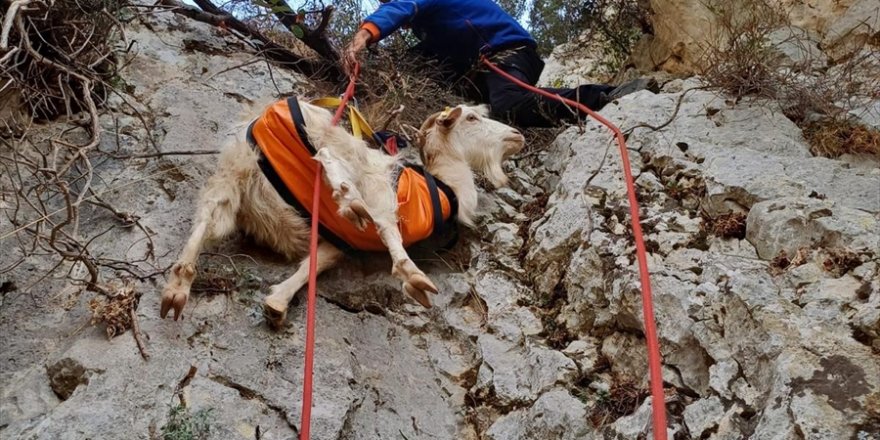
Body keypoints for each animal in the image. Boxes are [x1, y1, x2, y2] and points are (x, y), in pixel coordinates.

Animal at [160, 97, 524, 330]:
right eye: (472, 118)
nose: (517, 134)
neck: (443, 186)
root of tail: (263, 114)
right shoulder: (383, 195)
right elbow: (387, 227)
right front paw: (412, 276)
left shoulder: (336, 241)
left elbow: (316, 262)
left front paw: (277, 302)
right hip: (329, 137)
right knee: (326, 154)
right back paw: (349, 200)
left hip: (236, 170)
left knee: (208, 214)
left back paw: (178, 285)